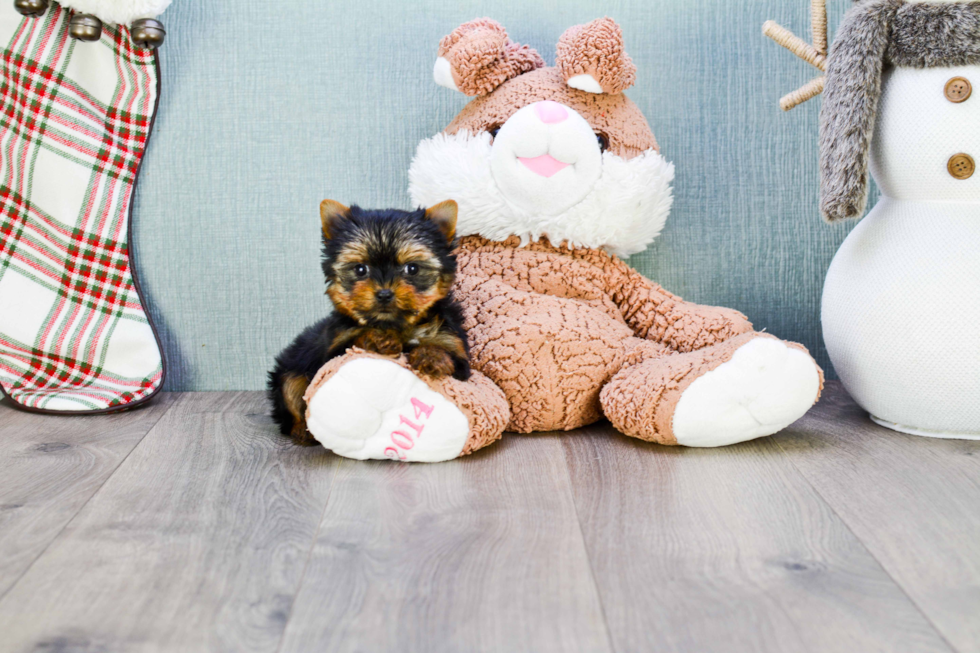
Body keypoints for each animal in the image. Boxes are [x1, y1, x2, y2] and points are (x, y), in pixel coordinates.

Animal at [266, 199, 468, 444]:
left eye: (412, 268)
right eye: (360, 269)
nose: (384, 294)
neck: (395, 324)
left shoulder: (456, 348)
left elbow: (450, 355)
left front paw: (431, 356)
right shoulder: (333, 351)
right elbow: (351, 344)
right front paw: (379, 339)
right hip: (290, 371)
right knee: (290, 394)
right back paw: (302, 430)